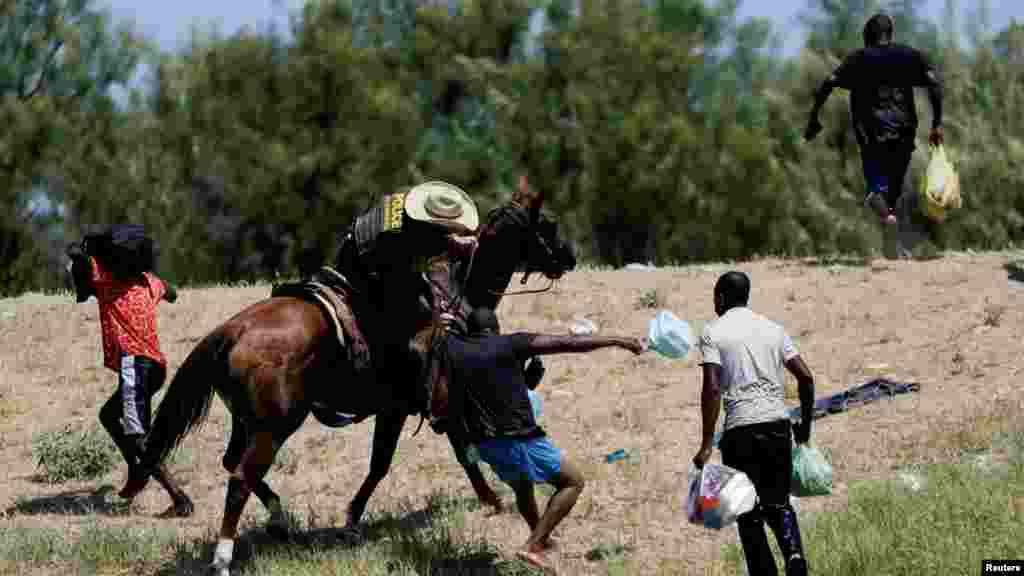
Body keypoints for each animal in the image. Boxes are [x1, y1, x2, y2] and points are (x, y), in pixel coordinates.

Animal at [134, 187, 577, 569]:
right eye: (549, 224)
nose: (569, 257)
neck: (457, 301)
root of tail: (232, 330)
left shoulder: (403, 408)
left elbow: (421, 458)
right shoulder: (420, 405)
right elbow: (414, 459)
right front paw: (489, 501)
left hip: (246, 421)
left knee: (232, 464)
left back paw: (280, 520)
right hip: (275, 427)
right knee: (241, 478)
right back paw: (224, 557)